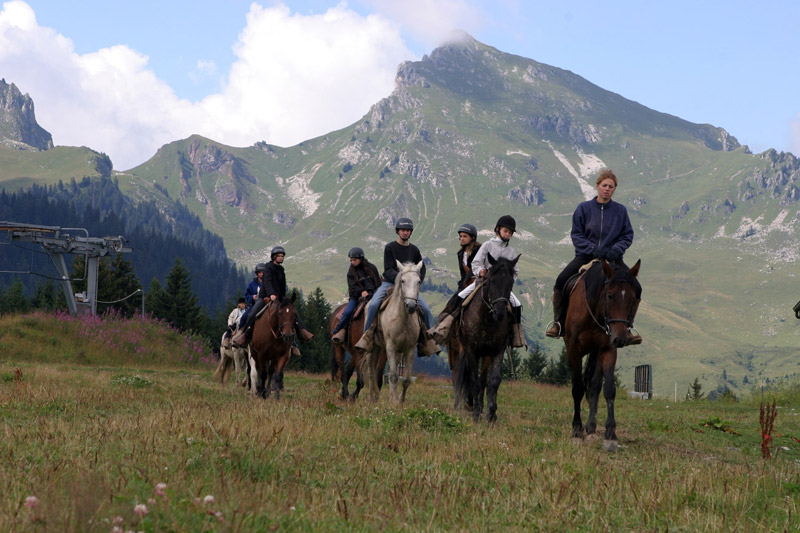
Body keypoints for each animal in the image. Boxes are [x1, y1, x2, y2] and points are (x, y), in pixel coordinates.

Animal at [364, 258, 424, 404]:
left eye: (419, 281)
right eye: (402, 281)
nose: (411, 306)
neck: (403, 319)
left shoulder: (409, 349)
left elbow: (405, 379)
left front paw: (399, 401)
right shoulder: (390, 346)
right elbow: (393, 376)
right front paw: (393, 402)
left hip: (390, 350)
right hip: (372, 348)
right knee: (371, 371)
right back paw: (372, 397)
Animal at [564, 260, 640, 450]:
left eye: (633, 298)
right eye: (610, 296)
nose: (621, 338)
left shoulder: (607, 348)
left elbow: (609, 389)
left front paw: (610, 435)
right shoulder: (573, 348)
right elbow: (577, 388)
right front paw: (576, 430)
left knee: (595, 385)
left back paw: (591, 428)